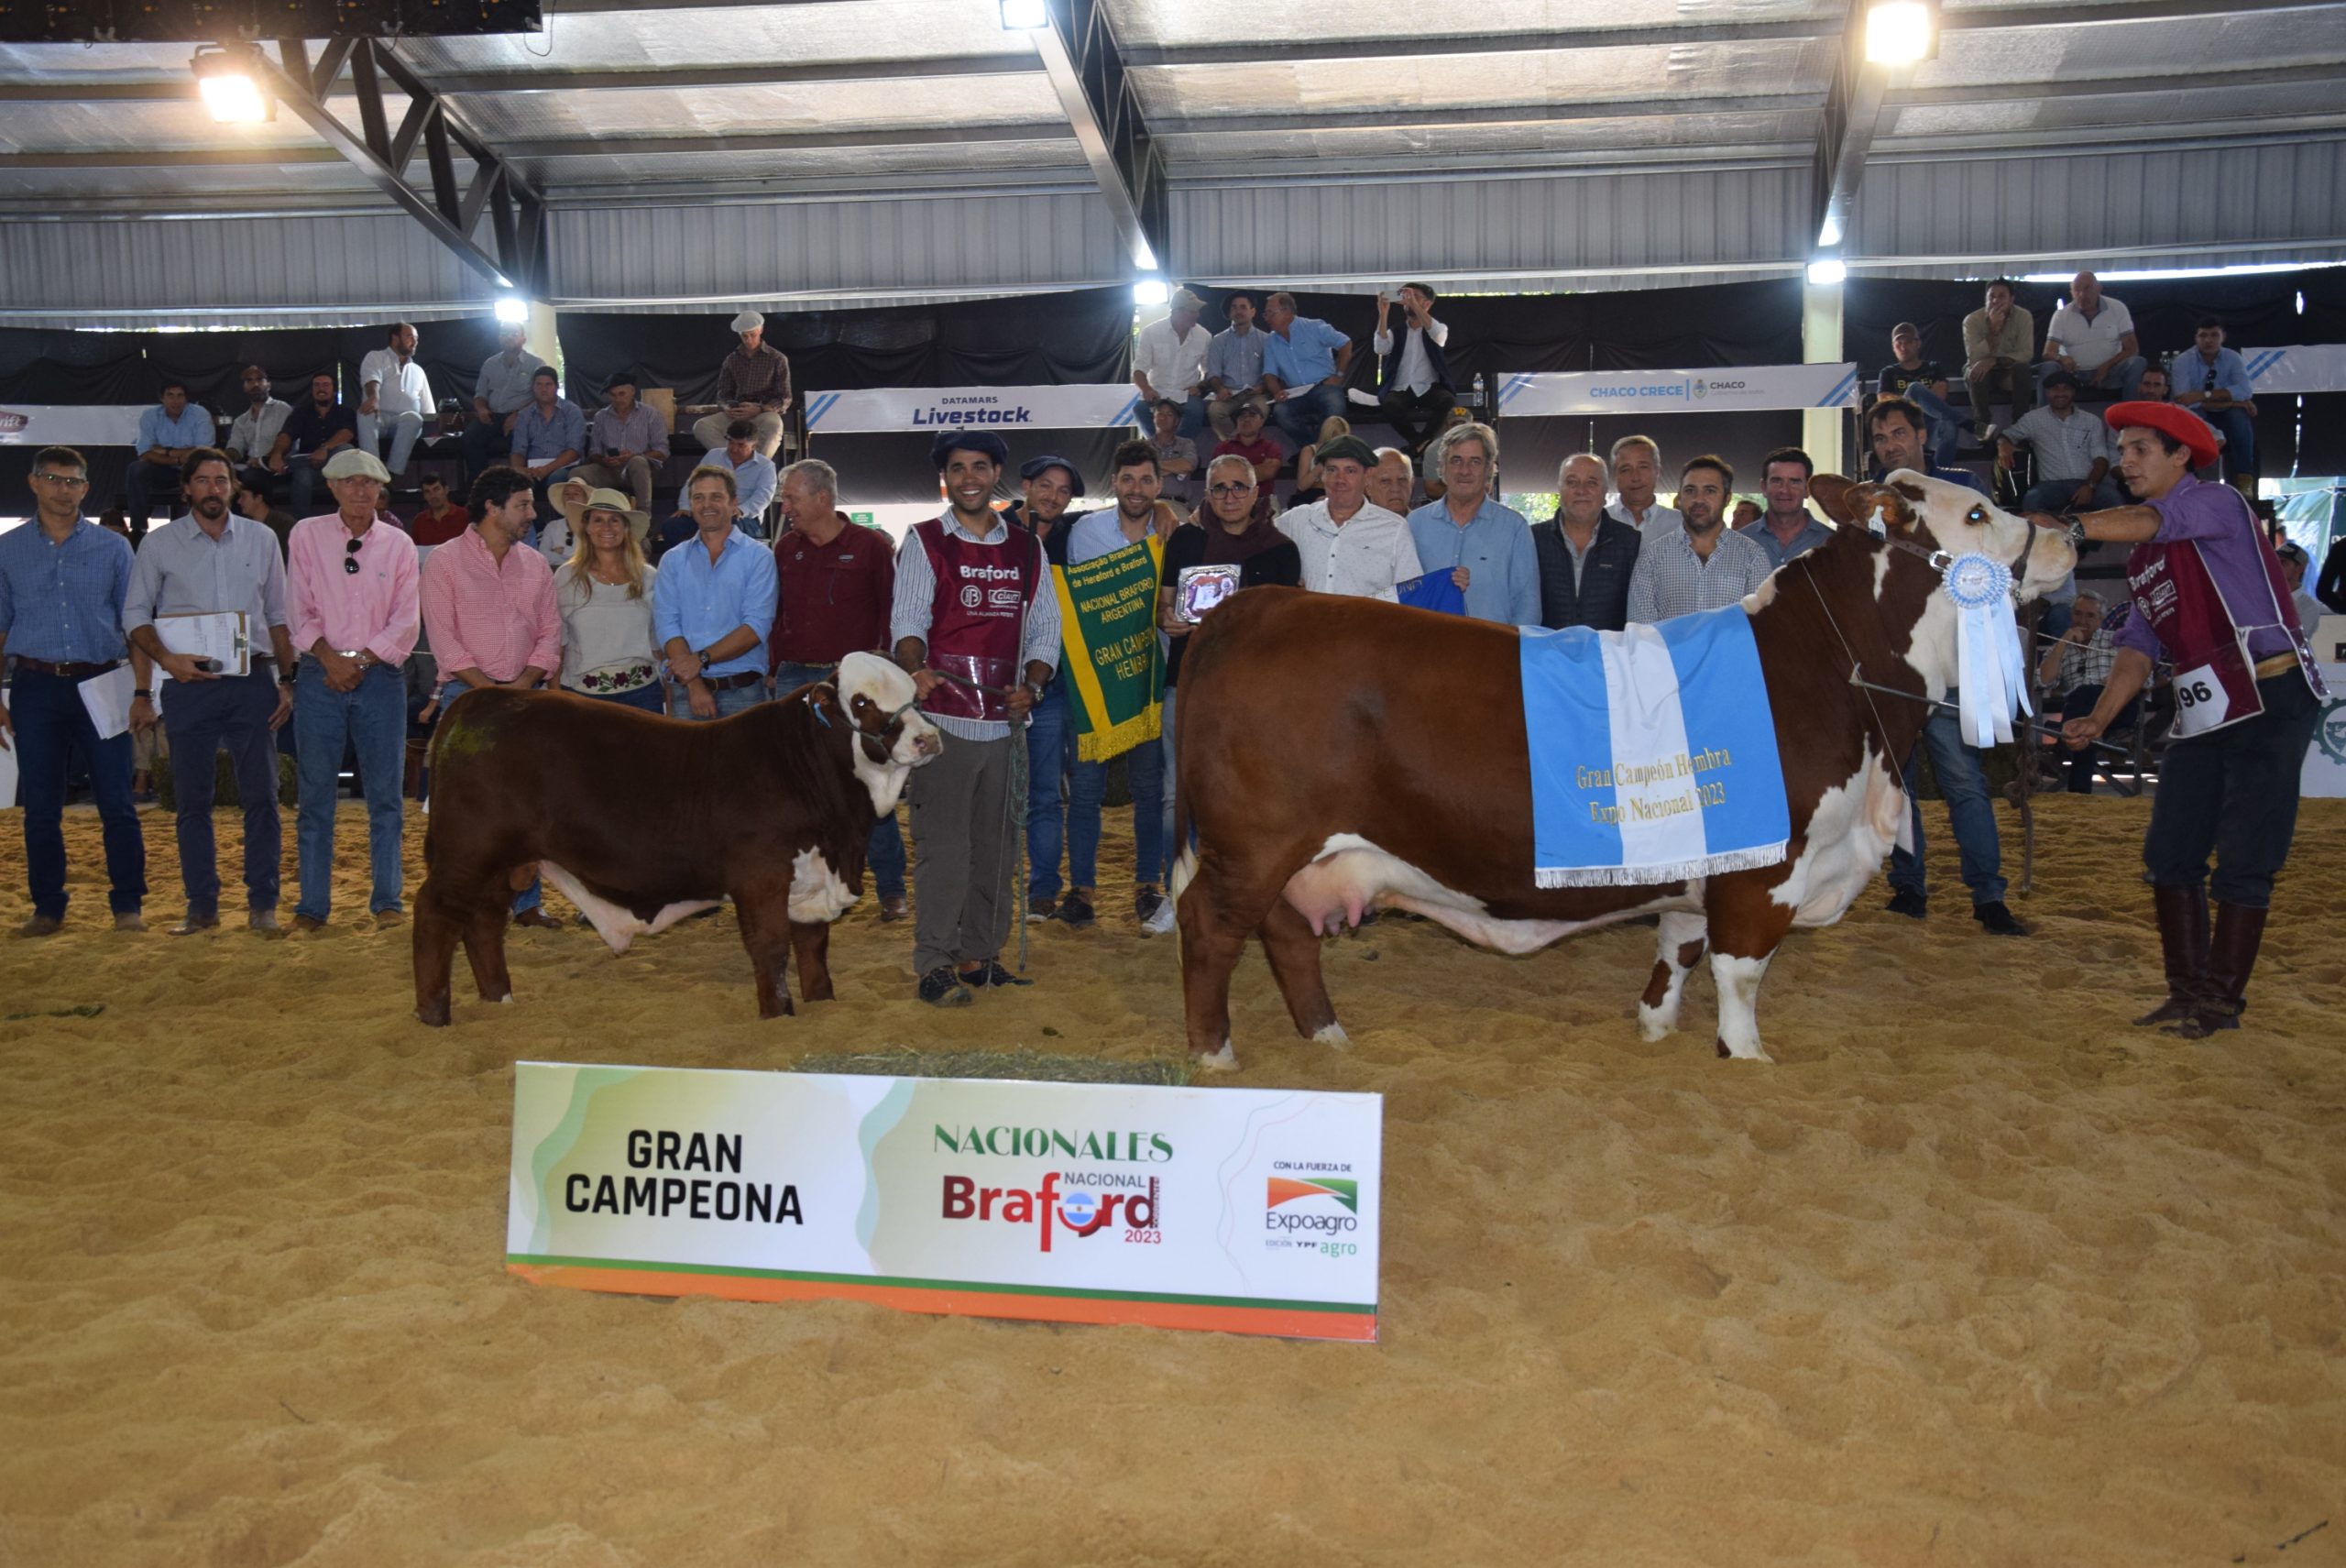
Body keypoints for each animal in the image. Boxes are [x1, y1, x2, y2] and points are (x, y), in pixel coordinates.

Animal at [417, 647, 938, 1023]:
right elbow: (770, 948)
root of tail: (481, 700)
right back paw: (434, 1014)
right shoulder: (760, 877)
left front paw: (822, 1003)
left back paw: (499, 1000)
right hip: (468, 853)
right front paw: (778, 1014)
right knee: (437, 914)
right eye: (862, 701)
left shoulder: (812, 876)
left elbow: (813, 946)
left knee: (484, 922)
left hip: (504, 863)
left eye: (916, 695)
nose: (928, 739)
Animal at [1168, 471, 2074, 1069]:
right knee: (1211, 925)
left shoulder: (1701, 867)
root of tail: (1257, 605)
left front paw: (1655, 1027)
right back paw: (1216, 1056)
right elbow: (1742, 974)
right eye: (1978, 510)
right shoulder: (1767, 872)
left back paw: (1326, 1035)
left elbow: (1680, 946)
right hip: (1255, 841)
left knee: (1287, 931)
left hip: (1300, 850)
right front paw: (1746, 1058)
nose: (2068, 535)